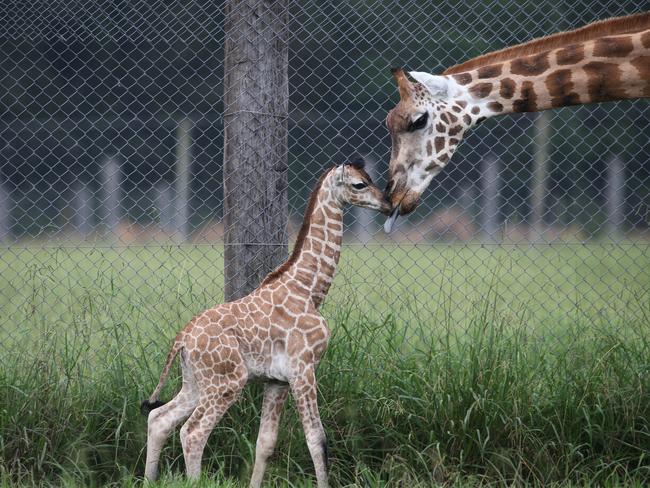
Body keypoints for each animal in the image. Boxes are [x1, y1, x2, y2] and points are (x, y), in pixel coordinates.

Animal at [140, 158, 388, 486]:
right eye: (360, 184)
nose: (387, 203)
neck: (310, 289)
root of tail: (182, 338)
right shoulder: (303, 369)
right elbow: (317, 438)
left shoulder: (276, 380)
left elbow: (265, 443)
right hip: (226, 382)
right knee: (192, 432)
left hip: (195, 381)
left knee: (159, 418)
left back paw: (149, 479)